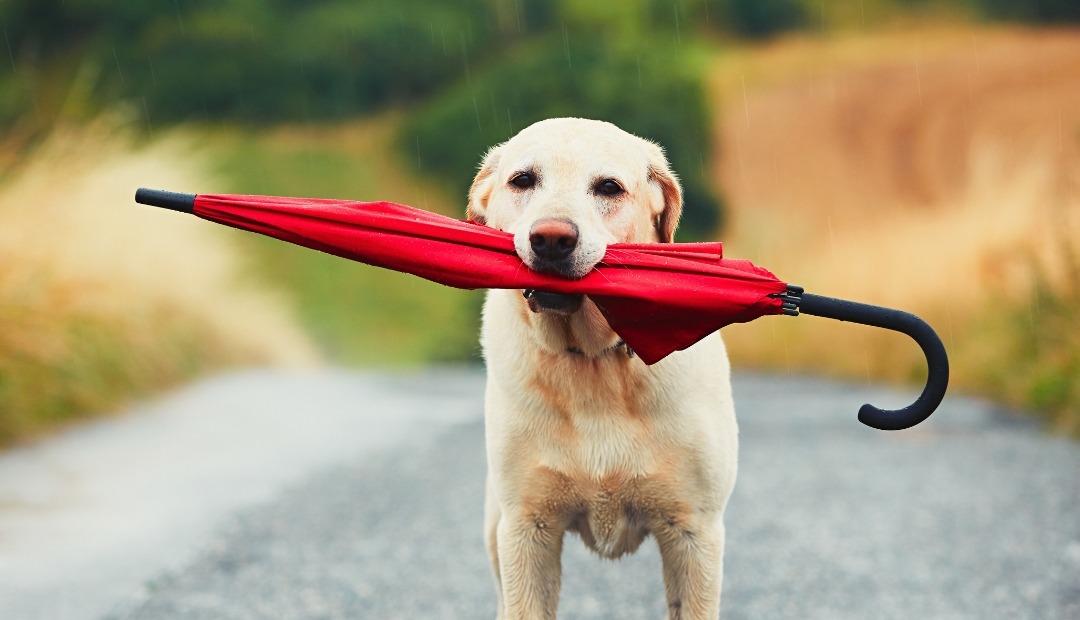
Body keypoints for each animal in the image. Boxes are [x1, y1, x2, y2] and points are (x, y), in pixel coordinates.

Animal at [468, 117, 738, 620]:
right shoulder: (526, 530)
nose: (551, 238)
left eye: (609, 187)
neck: (593, 361)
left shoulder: (694, 533)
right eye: (522, 180)